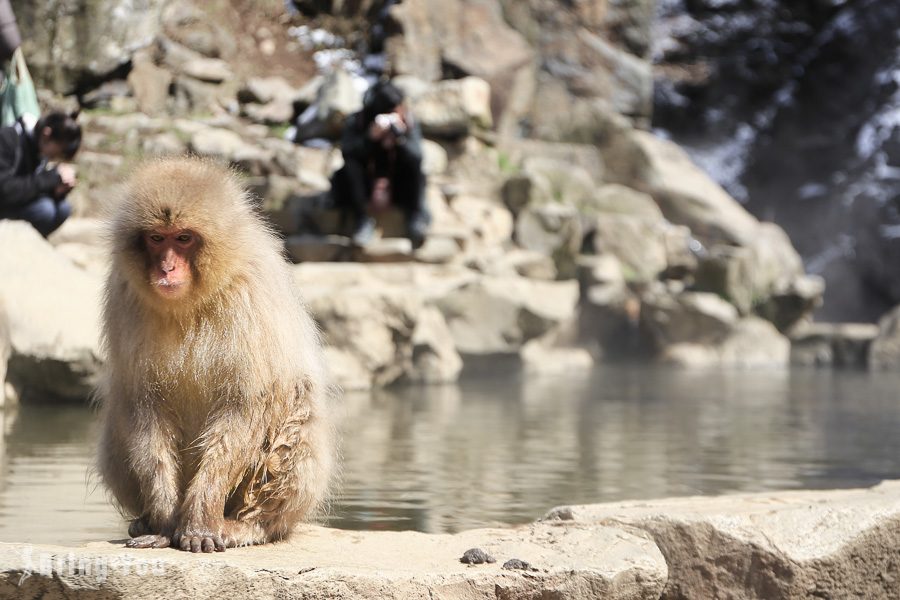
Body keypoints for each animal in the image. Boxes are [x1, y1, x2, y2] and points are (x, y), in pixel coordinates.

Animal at [96, 156, 334, 552]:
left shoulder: (251, 291)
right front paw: (164, 522)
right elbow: (145, 403)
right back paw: (145, 519)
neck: (191, 302)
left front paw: (198, 521)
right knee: (120, 416)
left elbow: (246, 404)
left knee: (295, 405)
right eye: (157, 238)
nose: (166, 268)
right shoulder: (124, 295)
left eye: (184, 238)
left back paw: (249, 526)